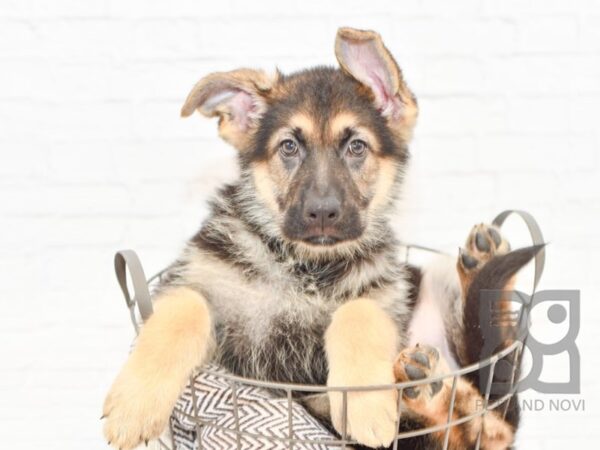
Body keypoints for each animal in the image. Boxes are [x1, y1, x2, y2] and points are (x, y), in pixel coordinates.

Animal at [102, 29, 540, 450]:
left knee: (483, 405)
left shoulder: (385, 296)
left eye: (356, 146)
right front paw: (134, 406)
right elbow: (183, 307)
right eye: (289, 146)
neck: (305, 266)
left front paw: (366, 404)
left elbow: (357, 310)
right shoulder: (201, 286)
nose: (323, 213)